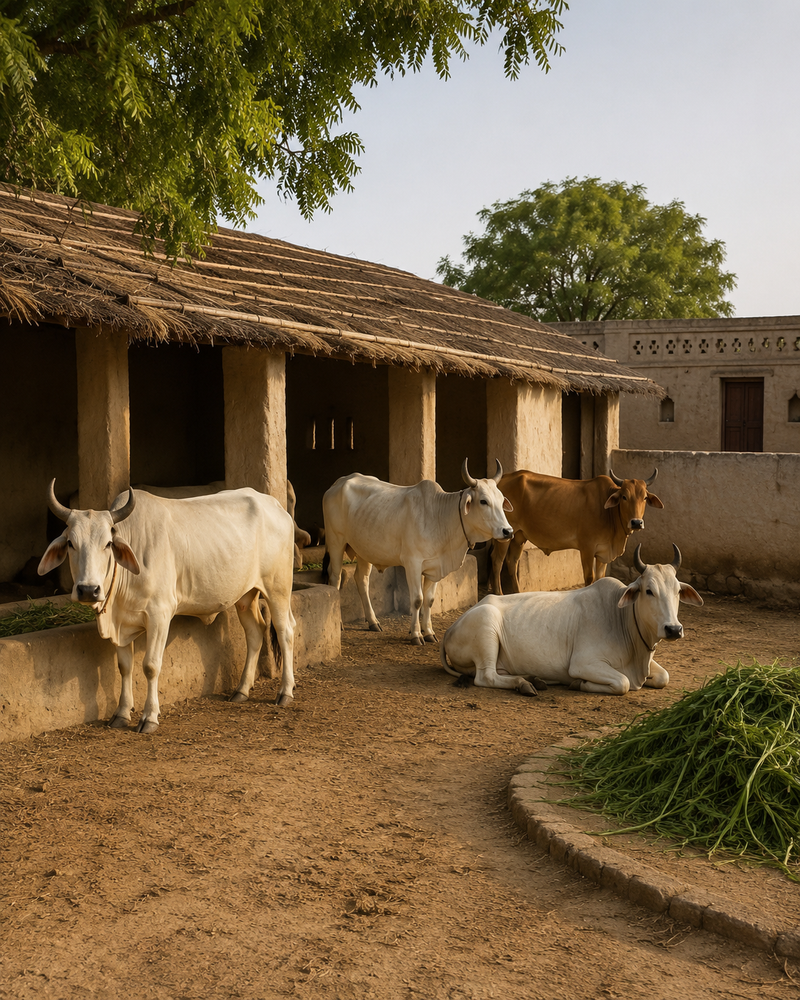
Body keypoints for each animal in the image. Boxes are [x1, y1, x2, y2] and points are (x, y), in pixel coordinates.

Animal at [38, 480, 297, 733]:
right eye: (71, 543)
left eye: (108, 544)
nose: (88, 590)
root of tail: (274, 504)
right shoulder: (121, 624)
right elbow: (125, 667)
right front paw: (121, 713)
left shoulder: (159, 615)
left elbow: (150, 666)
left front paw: (149, 717)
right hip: (245, 596)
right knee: (255, 632)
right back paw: (242, 690)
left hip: (278, 588)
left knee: (285, 631)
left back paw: (285, 691)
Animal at [321, 459, 514, 645]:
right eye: (483, 501)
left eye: (501, 500)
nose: (508, 531)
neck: (440, 518)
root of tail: (339, 482)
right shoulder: (412, 563)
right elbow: (417, 600)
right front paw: (415, 634)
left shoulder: (435, 567)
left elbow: (429, 601)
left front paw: (428, 632)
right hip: (336, 541)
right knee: (335, 578)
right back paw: (339, 623)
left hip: (364, 549)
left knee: (361, 580)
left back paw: (373, 622)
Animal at [441, 544, 703, 697]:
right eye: (649, 591)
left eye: (678, 591)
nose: (673, 629)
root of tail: (449, 629)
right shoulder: (583, 663)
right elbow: (623, 683)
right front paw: (578, 684)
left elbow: (663, 677)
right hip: (486, 626)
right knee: (485, 677)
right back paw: (524, 684)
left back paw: (533, 679)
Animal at [489, 468, 664, 594]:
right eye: (624, 497)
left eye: (645, 498)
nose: (636, 522)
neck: (609, 513)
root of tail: (502, 479)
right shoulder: (587, 548)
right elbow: (589, 578)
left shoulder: (602, 554)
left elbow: (600, 577)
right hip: (503, 535)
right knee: (497, 561)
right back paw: (499, 594)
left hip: (518, 536)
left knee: (512, 561)